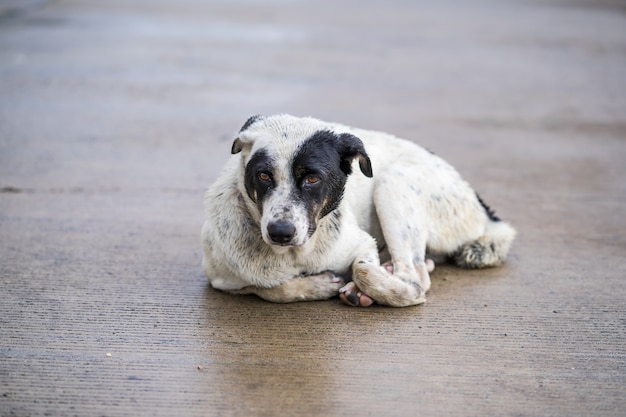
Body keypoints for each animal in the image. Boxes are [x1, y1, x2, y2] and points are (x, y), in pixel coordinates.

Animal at [202, 114, 516, 306]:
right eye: (264, 175)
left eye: (313, 178)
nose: (280, 232)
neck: (294, 255)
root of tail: (480, 205)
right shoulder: (222, 278)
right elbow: (269, 288)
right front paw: (318, 286)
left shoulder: (362, 243)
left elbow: (364, 268)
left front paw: (396, 292)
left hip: (393, 184)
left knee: (415, 272)